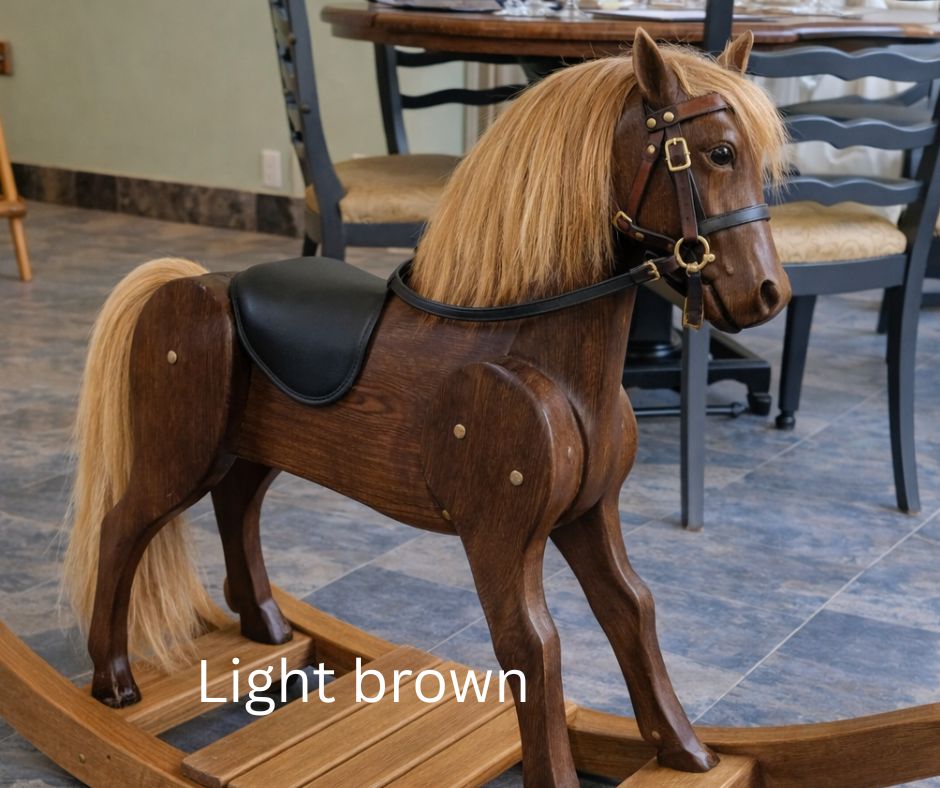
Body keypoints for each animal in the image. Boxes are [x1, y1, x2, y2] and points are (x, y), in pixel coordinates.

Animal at [62, 30, 789, 787]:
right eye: (719, 152)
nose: (768, 293)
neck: (531, 345)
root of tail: (196, 280)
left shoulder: (589, 512)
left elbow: (632, 607)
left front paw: (687, 751)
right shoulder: (498, 534)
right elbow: (532, 645)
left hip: (255, 451)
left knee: (237, 507)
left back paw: (268, 627)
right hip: (179, 452)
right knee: (120, 528)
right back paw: (113, 682)